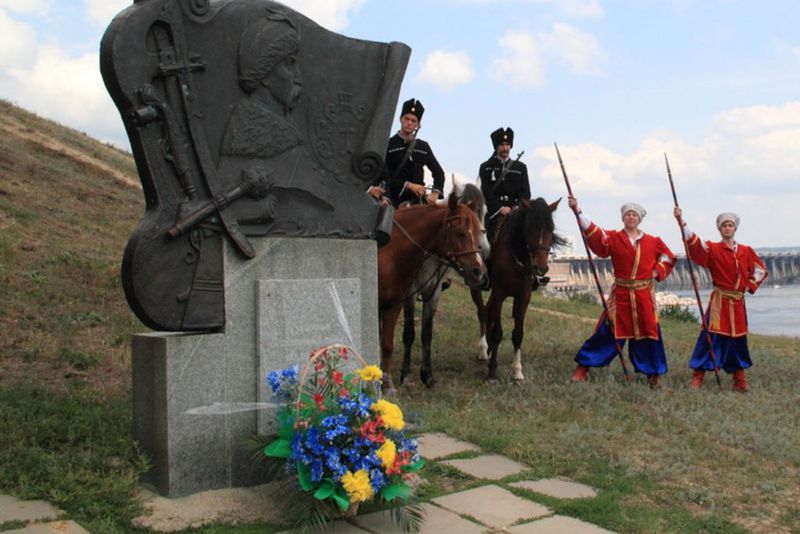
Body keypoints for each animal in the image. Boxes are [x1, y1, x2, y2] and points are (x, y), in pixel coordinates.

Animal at [378, 193, 484, 394]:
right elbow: (407, 334)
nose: (479, 272)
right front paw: (404, 377)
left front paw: (425, 377)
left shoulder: (403, 301)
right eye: (460, 232)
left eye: (480, 232)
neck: (391, 251)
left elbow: (395, 341)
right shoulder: (407, 297)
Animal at [468, 199, 568, 384]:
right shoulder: (500, 292)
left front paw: (517, 371)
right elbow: (498, 333)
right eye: (529, 227)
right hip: (477, 285)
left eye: (551, 228)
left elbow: (518, 334)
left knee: (489, 311)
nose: (541, 267)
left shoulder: (524, 296)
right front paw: (492, 372)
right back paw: (484, 350)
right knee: (483, 313)